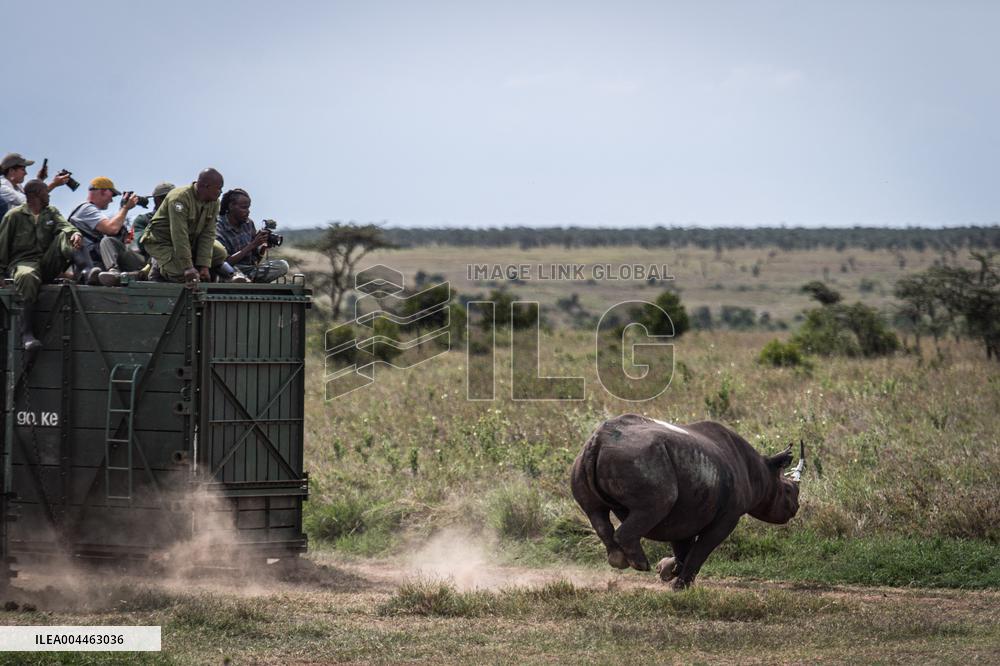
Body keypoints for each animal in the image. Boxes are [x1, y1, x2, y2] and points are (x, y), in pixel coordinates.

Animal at [571, 414, 804, 589]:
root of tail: (599, 441)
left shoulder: (688, 510)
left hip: (585, 459)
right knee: (654, 506)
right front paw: (681, 585)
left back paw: (619, 560)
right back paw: (641, 564)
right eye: (788, 491)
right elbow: (702, 548)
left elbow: (683, 546)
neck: (761, 472)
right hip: (643, 460)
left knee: (595, 512)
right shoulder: (729, 515)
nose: (795, 509)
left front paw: (667, 570)